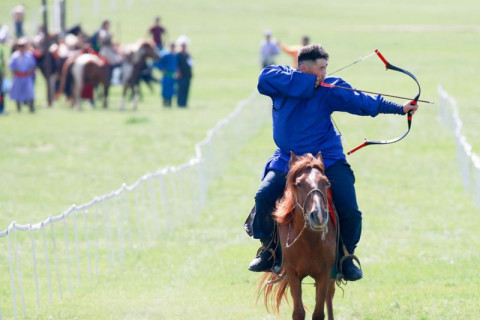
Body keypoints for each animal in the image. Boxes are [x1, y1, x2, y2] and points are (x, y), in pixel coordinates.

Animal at [258, 152, 338, 320]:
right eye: (299, 183)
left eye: (326, 183)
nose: (318, 216)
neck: (309, 242)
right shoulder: (292, 273)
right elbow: (298, 312)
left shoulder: (325, 273)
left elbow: (319, 312)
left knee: (329, 297)